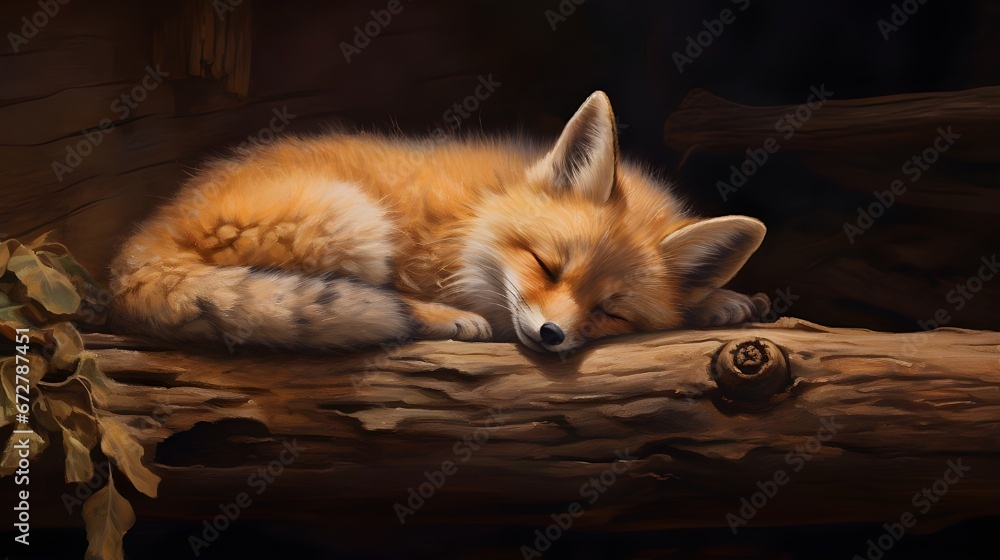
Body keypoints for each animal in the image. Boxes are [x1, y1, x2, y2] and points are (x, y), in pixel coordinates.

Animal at [108, 91, 770, 354]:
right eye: (546, 265)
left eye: (611, 311)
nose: (551, 335)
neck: (476, 217)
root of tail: (140, 246)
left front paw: (722, 300)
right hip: (353, 218)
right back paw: (445, 320)